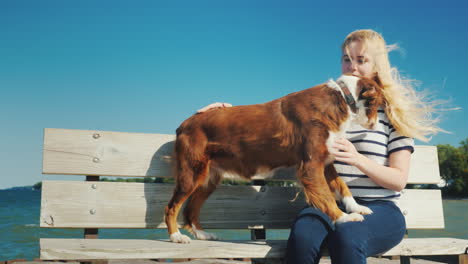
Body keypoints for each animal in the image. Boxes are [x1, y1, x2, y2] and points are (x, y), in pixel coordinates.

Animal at [165, 74, 384, 243]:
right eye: (378, 105)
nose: (375, 126)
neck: (342, 98)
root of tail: (183, 124)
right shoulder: (311, 165)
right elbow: (327, 196)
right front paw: (343, 218)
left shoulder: (327, 161)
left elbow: (342, 186)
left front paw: (357, 207)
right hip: (191, 172)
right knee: (172, 206)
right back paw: (176, 236)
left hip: (208, 178)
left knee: (191, 208)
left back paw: (202, 234)